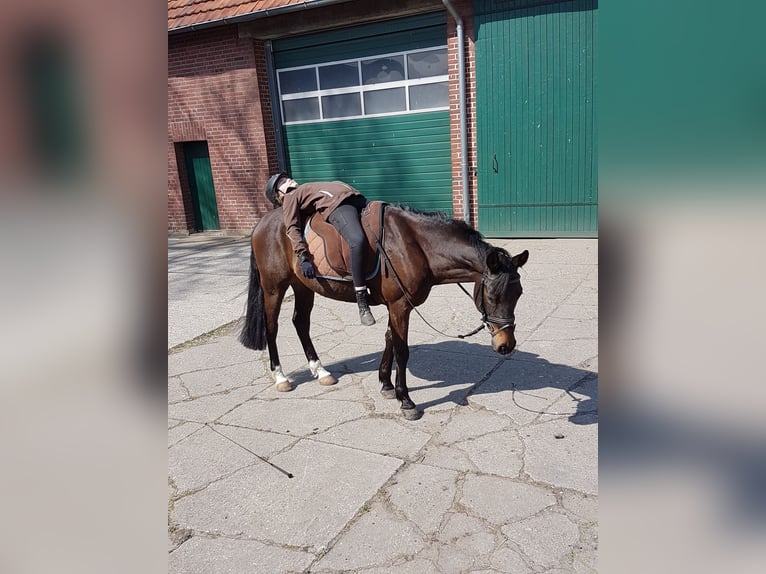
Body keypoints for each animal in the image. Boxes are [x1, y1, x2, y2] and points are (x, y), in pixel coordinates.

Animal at [240, 205, 528, 420]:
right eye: (492, 296)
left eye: (519, 294)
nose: (506, 345)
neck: (416, 246)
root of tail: (263, 222)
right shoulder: (400, 305)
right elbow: (402, 350)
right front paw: (406, 400)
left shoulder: (396, 305)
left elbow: (389, 338)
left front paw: (387, 385)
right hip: (274, 287)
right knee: (272, 327)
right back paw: (280, 376)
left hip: (303, 285)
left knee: (300, 323)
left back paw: (320, 371)